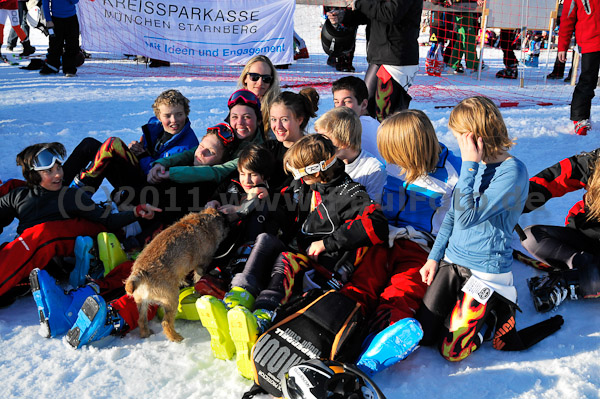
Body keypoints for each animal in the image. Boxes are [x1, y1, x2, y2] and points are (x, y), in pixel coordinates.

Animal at [125, 208, 229, 342]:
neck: (205, 222)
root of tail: (139, 272)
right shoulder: (201, 264)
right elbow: (199, 275)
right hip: (171, 299)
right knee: (166, 322)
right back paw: (176, 337)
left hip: (141, 302)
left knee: (141, 320)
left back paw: (146, 334)